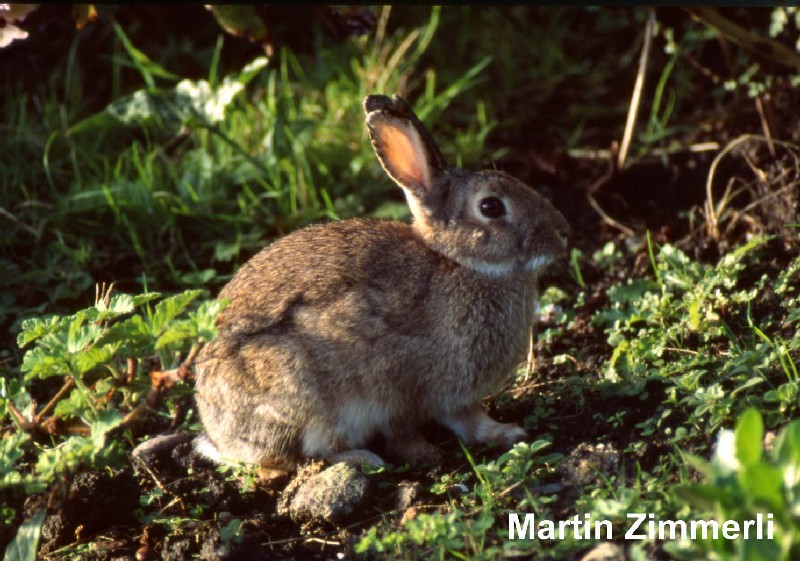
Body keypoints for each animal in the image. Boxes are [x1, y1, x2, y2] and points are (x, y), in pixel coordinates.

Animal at [193, 94, 569, 472]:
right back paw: (363, 458)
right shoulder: (403, 384)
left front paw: (504, 433)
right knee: (308, 453)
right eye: (490, 206)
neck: (461, 264)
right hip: (302, 393)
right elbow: (416, 427)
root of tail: (221, 438)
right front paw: (429, 452)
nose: (561, 232)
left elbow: (469, 421)